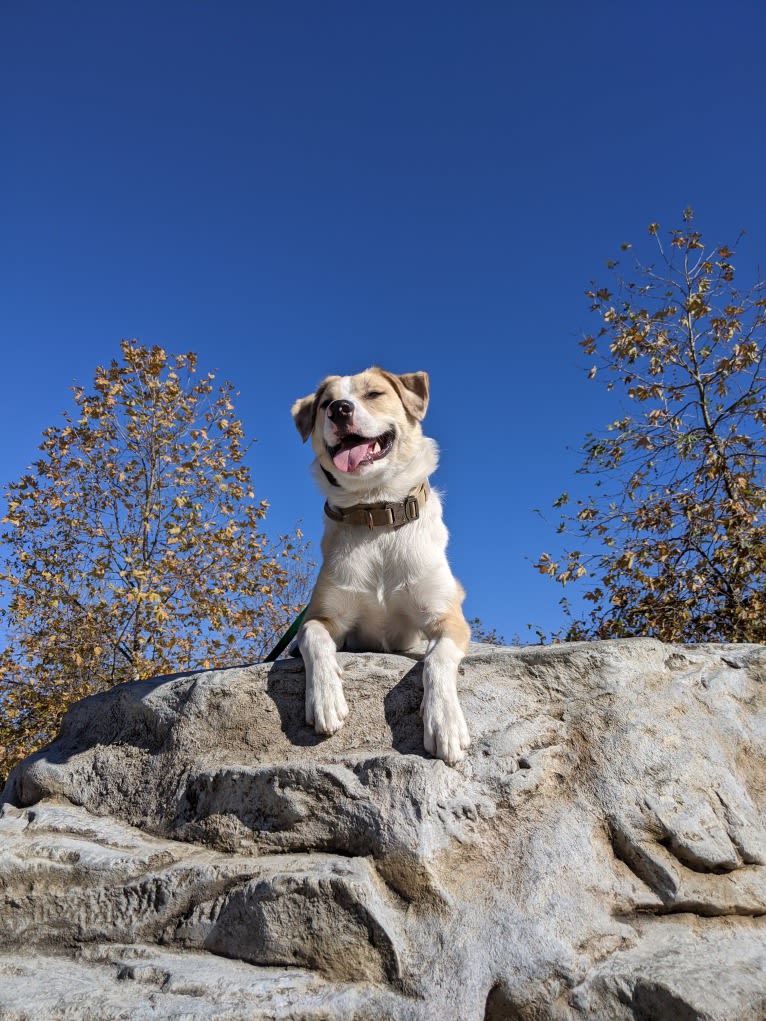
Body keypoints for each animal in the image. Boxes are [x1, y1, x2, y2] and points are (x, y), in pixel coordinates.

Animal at [290, 369, 471, 767]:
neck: (376, 512)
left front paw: (444, 721)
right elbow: (313, 636)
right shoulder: (325, 616)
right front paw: (325, 698)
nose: (340, 410)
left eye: (373, 394)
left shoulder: (447, 619)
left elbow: (437, 659)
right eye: (326, 403)